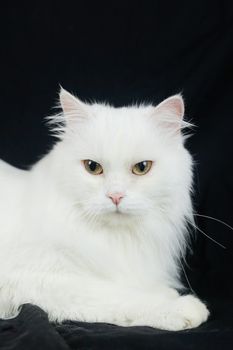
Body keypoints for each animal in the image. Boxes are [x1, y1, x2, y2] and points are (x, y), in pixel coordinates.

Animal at [0, 89, 209, 330]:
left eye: (142, 168)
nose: (115, 196)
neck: (116, 239)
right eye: (93, 167)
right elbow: (122, 296)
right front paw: (180, 306)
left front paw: (166, 293)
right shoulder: (39, 280)